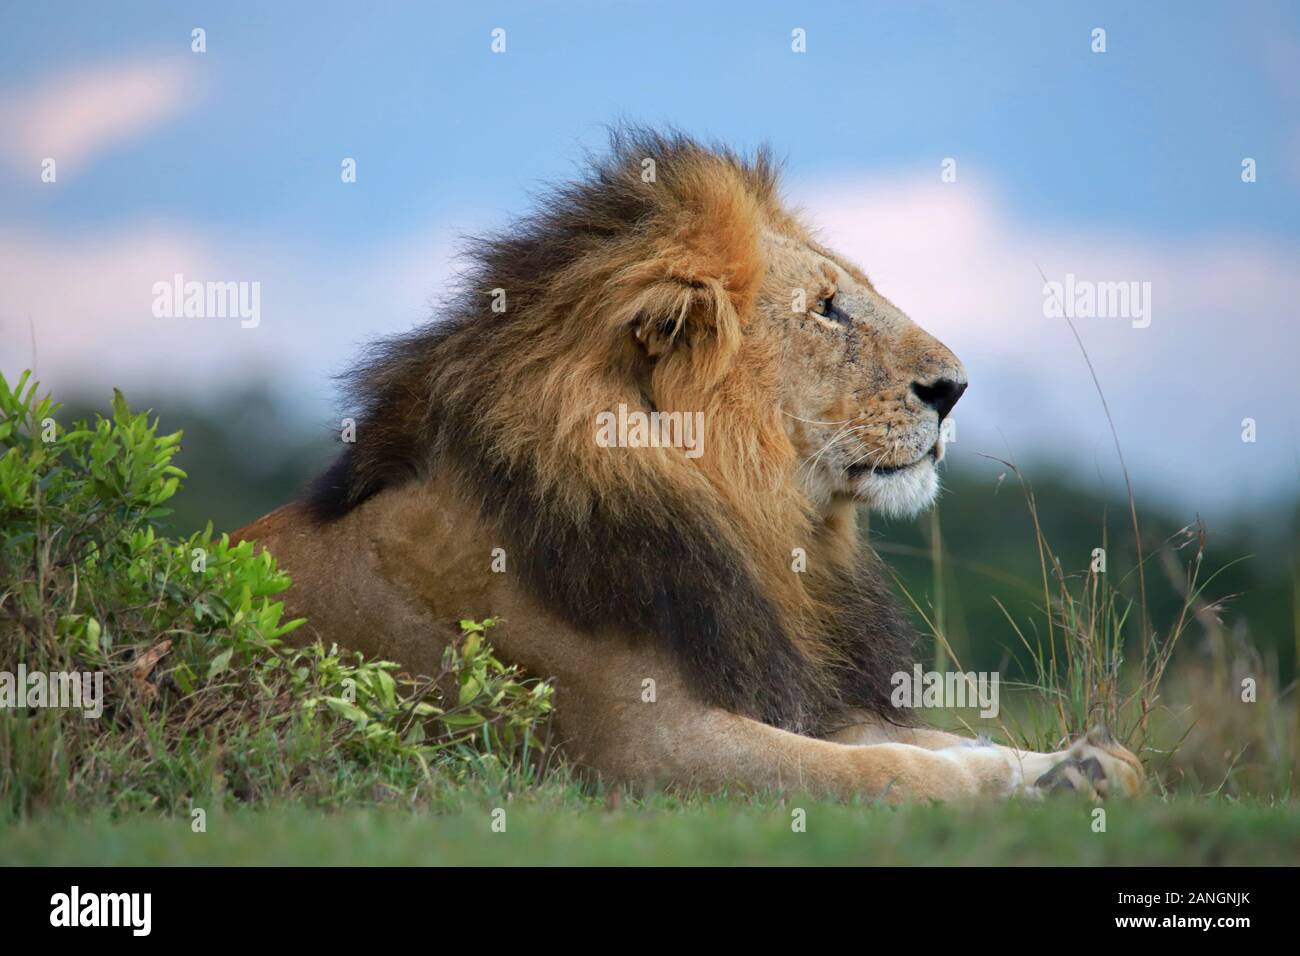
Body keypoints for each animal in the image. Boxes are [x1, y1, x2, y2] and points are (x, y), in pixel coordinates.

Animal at [239, 127, 1144, 801]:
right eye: (827, 309)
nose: (953, 389)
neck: (755, 524)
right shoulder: (640, 750)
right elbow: (884, 769)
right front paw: (1037, 780)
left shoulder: (787, 685)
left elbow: (943, 739)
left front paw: (1083, 765)